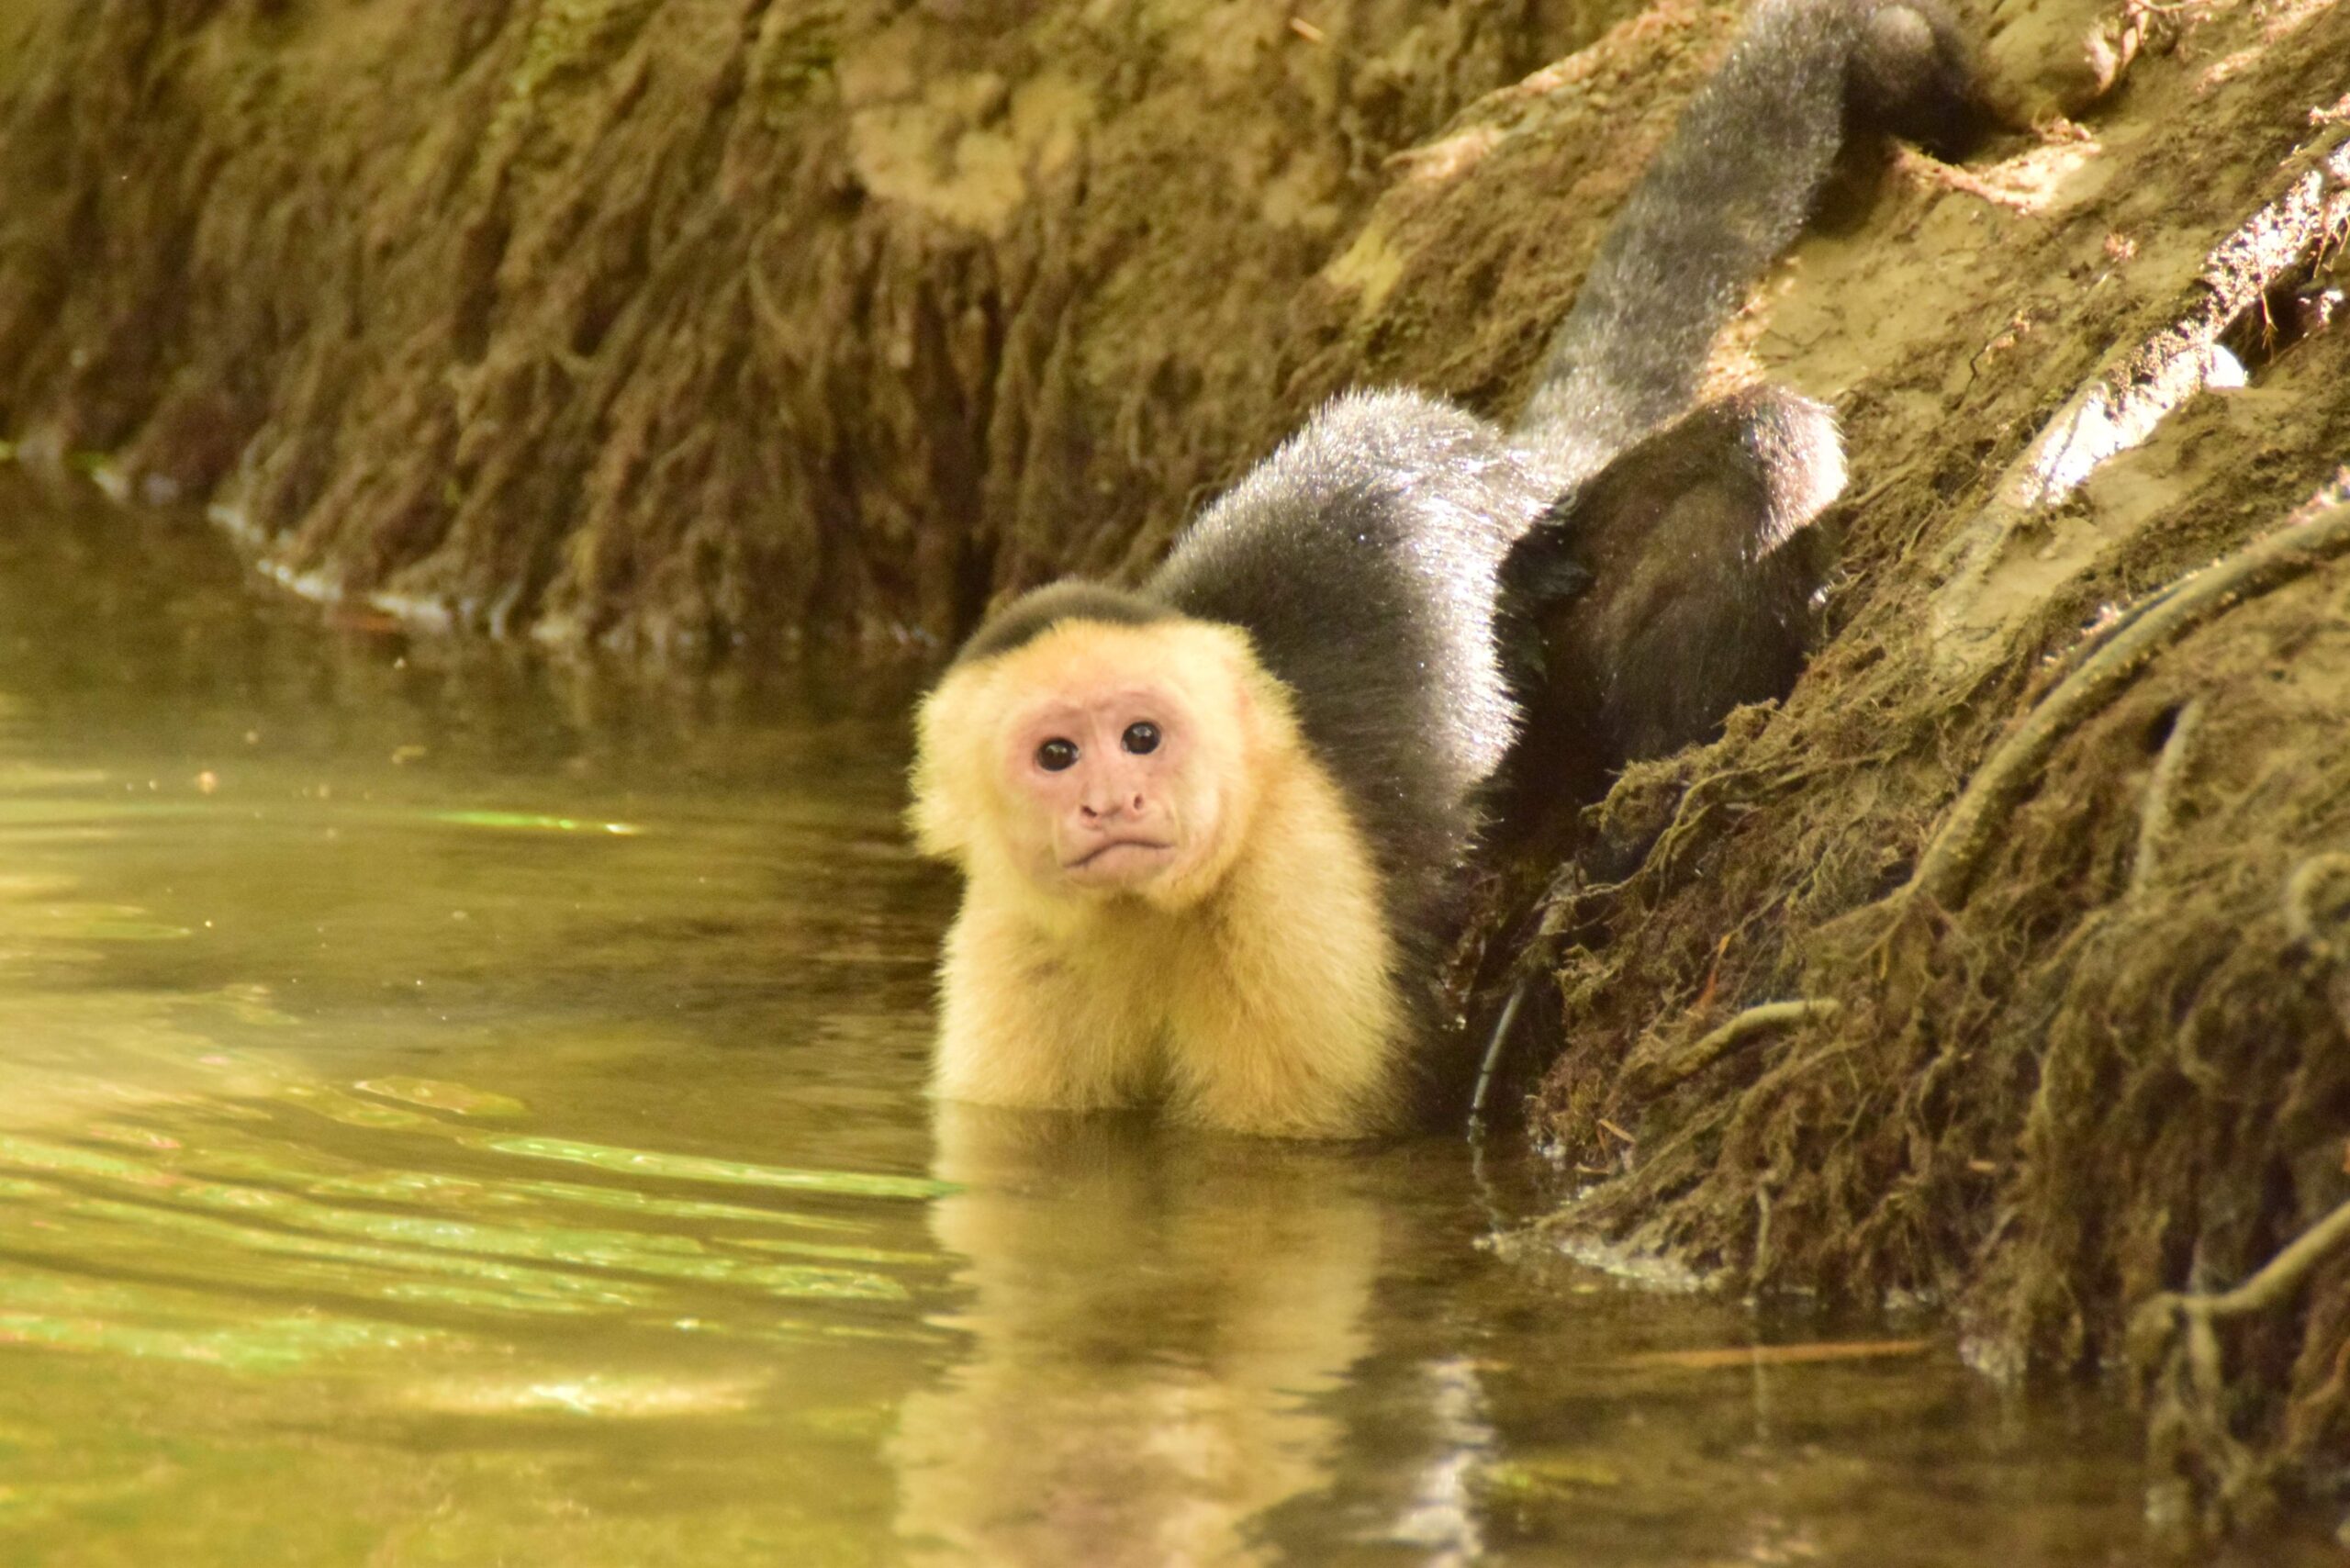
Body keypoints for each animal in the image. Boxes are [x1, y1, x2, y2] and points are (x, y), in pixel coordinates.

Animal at [909, 0, 1989, 1138]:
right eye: (1056, 754)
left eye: (1143, 738)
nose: (1112, 803)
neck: (1149, 917)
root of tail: (1503, 456)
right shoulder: (1013, 943)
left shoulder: (1298, 904)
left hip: (1559, 574)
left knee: (1757, 444)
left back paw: (1618, 845)